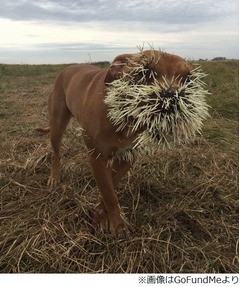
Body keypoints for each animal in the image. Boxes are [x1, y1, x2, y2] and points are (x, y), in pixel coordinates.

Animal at [37, 50, 191, 236]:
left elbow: (110, 187)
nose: (172, 97)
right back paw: (54, 177)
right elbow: (109, 194)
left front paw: (102, 216)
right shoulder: (97, 158)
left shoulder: (127, 157)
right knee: (56, 153)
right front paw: (118, 224)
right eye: (144, 71)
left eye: (188, 78)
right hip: (57, 125)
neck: (125, 117)